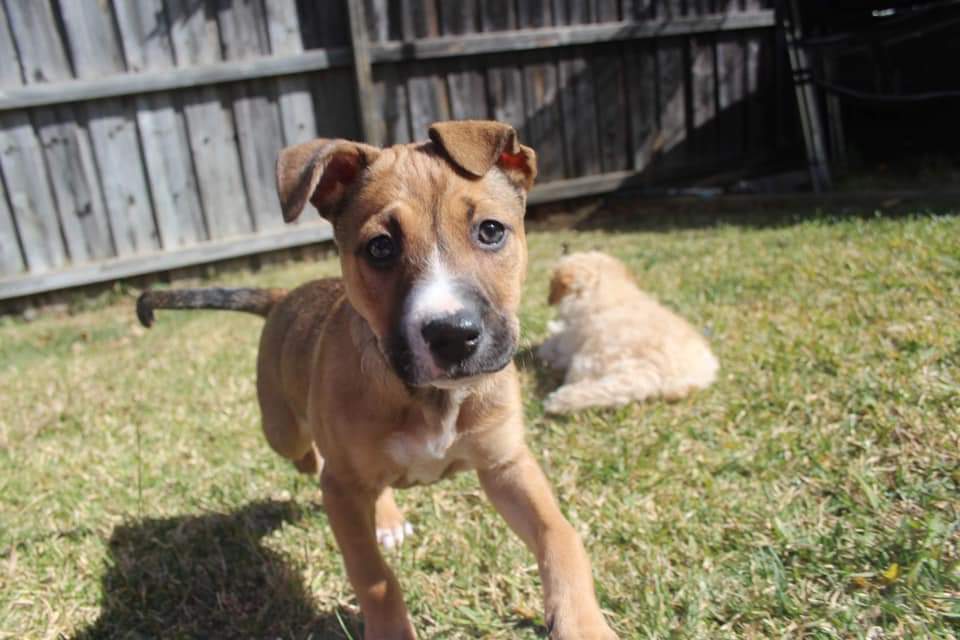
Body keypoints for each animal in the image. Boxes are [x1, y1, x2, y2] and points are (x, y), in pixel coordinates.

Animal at [136, 121, 617, 640]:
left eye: (490, 231)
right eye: (380, 247)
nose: (451, 336)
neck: (430, 397)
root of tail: (284, 295)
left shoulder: (507, 465)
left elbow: (560, 534)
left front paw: (582, 623)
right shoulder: (342, 492)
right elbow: (373, 576)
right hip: (283, 431)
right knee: (306, 454)